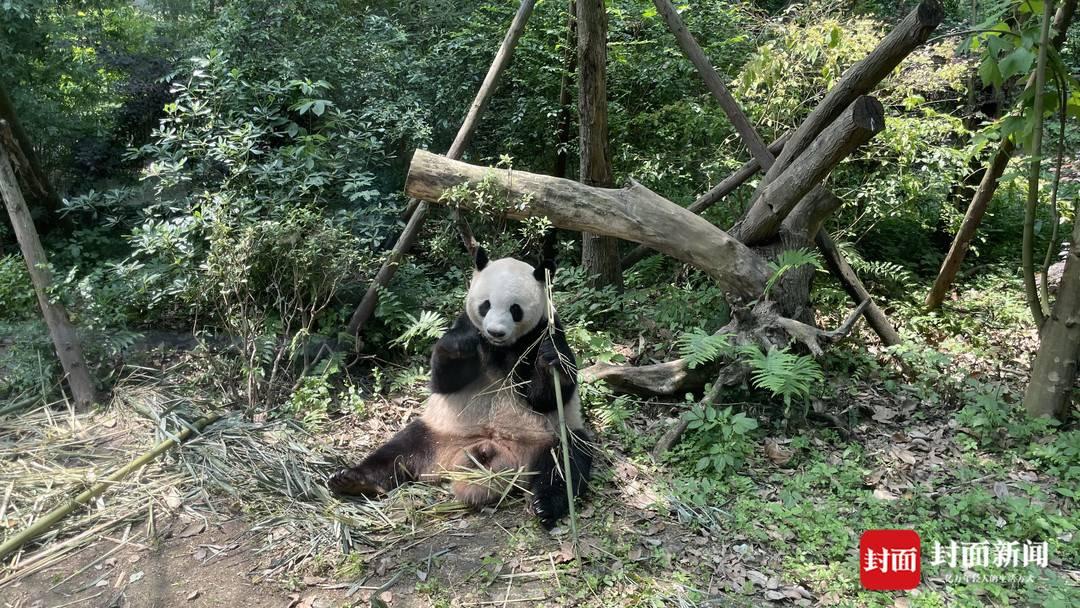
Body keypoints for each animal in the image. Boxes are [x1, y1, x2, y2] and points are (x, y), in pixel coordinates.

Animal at [330, 249, 596, 531]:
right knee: (396, 451)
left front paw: (549, 362)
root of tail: (491, 448)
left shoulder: (543, 332)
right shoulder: (465, 324)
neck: (499, 348)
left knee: (566, 463)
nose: (495, 332)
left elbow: (546, 397)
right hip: (437, 433)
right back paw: (351, 480)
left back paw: (545, 506)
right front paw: (460, 346)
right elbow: (444, 378)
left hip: (548, 438)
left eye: (515, 309)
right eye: (486, 305)